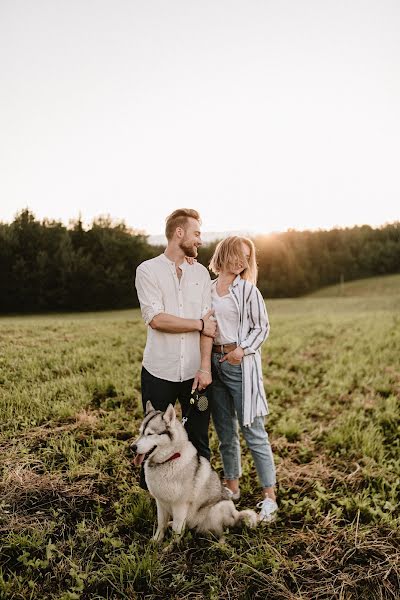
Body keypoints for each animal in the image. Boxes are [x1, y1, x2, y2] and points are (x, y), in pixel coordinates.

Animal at [131, 404, 256, 540]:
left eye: (150, 434)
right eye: (140, 432)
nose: (132, 447)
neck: (169, 459)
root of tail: (236, 515)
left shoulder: (180, 505)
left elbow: (176, 530)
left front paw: (172, 545)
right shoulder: (160, 502)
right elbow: (161, 524)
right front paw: (157, 540)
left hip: (218, 509)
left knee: (223, 533)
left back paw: (219, 542)